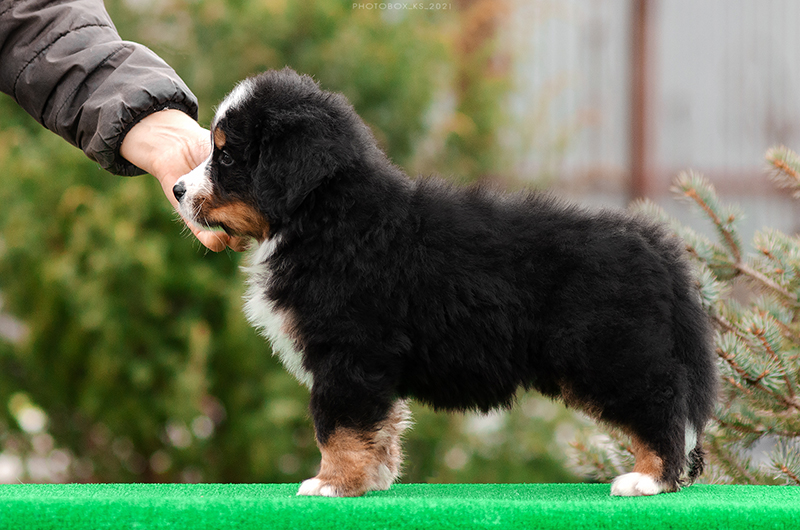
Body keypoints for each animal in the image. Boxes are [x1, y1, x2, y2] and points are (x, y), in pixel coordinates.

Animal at [173, 68, 718, 497]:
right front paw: (372, 480)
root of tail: (657, 246)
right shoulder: (370, 362)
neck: (326, 217)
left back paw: (649, 479)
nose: (177, 189)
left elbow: (338, 425)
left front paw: (332, 483)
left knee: (661, 402)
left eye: (226, 157)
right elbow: (379, 426)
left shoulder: (350, 351)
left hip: (609, 350)